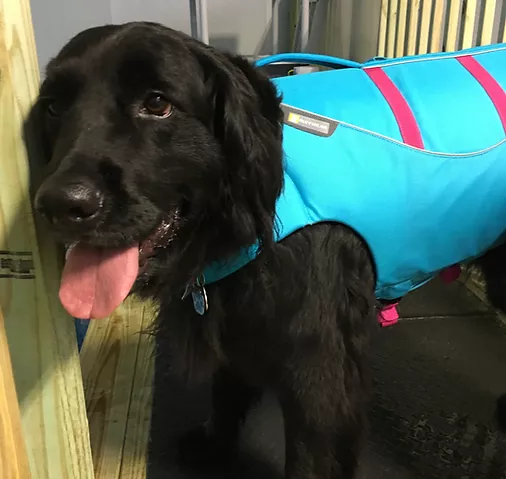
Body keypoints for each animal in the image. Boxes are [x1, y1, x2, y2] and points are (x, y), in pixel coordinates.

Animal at [30, 23, 506, 479]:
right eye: (53, 107)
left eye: (157, 103)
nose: (59, 204)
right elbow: (226, 389)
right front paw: (215, 444)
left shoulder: (319, 374)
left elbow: (312, 454)